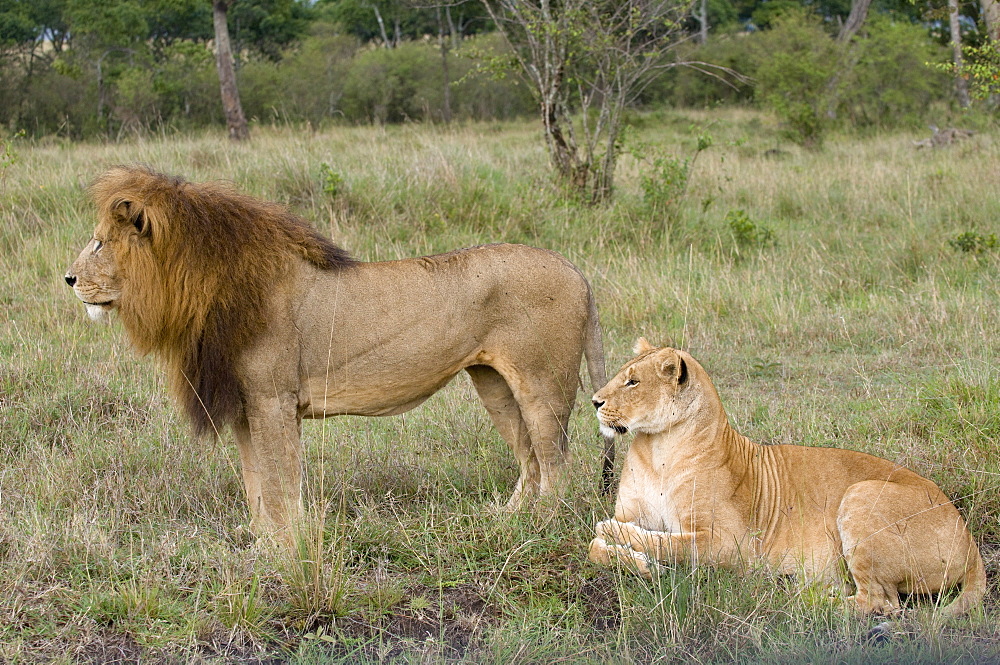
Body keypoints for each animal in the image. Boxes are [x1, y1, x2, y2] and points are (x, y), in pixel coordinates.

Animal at [66, 165, 612, 540]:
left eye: (99, 243)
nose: (68, 279)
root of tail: (577, 271)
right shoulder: (245, 406)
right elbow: (255, 482)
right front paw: (261, 542)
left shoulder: (273, 400)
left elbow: (281, 481)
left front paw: (286, 546)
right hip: (493, 383)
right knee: (529, 457)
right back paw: (506, 519)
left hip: (542, 387)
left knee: (556, 463)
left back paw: (542, 525)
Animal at [584, 340, 984, 616]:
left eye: (632, 382)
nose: (594, 402)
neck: (657, 450)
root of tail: (969, 538)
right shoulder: (631, 512)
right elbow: (595, 548)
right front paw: (638, 562)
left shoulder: (729, 545)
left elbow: (668, 543)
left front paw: (626, 542)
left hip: (862, 493)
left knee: (881, 603)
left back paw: (801, 597)